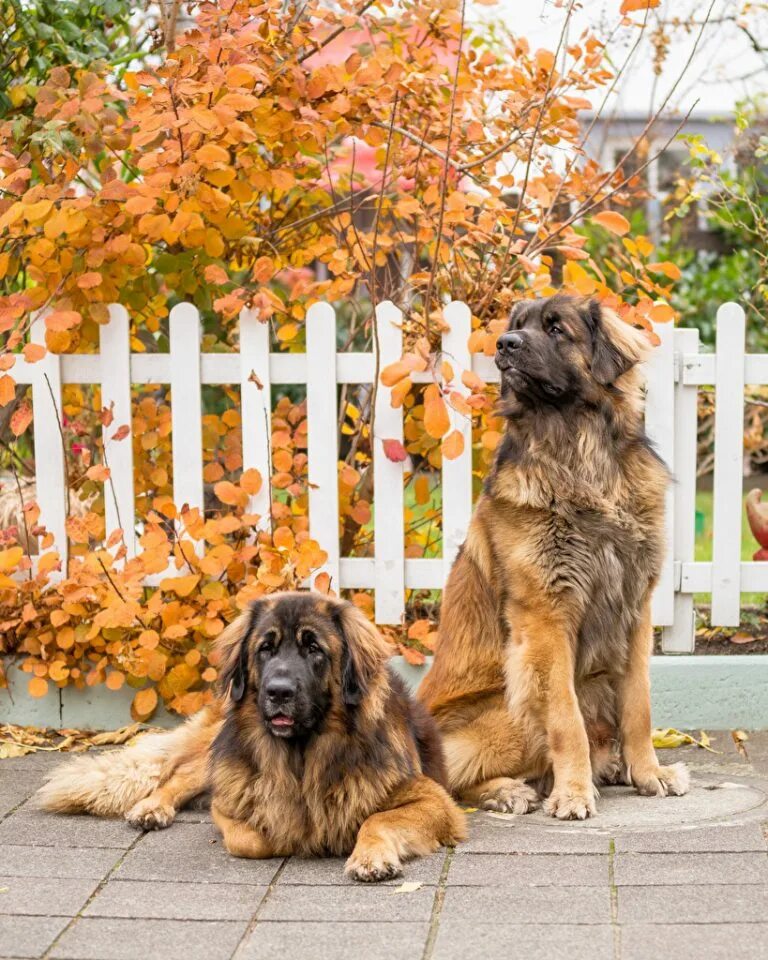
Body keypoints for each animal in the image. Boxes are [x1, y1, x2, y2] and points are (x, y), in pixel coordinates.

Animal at [39, 596, 464, 880]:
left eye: (314, 648)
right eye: (265, 649)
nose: (278, 692)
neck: (303, 759)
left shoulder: (432, 799)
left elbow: (375, 819)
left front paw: (369, 857)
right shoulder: (229, 805)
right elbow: (256, 838)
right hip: (216, 753)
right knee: (177, 775)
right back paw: (152, 807)